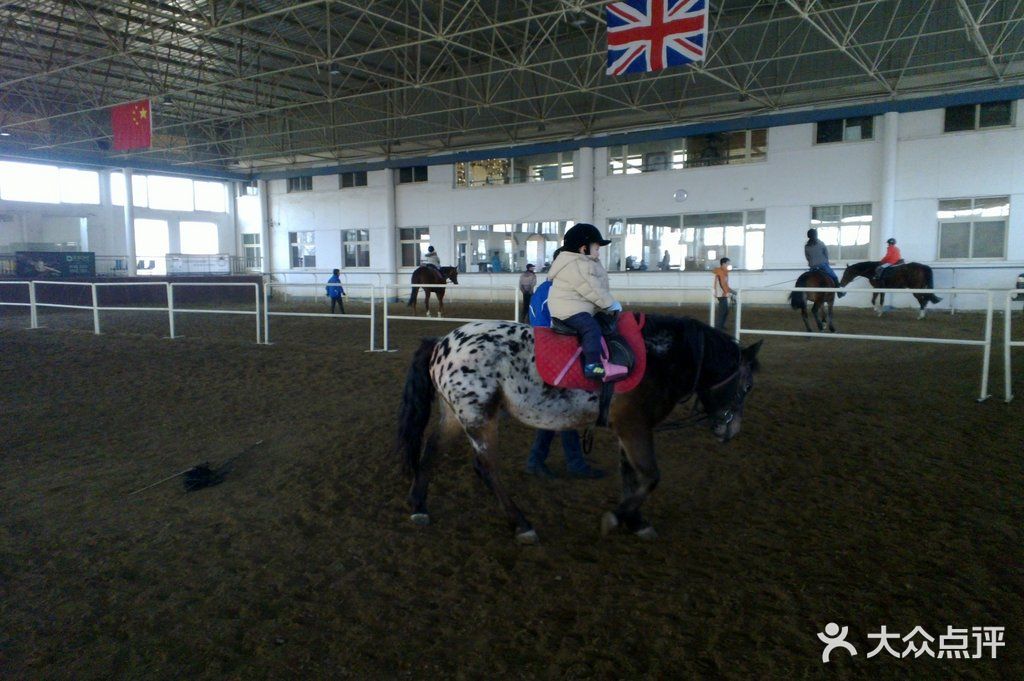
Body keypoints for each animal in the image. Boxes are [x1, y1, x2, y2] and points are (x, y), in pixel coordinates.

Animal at [395, 315, 765, 544]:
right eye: (746, 387)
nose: (731, 430)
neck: (658, 358)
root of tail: (442, 341)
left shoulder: (625, 431)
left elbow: (630, 475)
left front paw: (636, 521)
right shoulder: (634, 427)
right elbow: (650, 476)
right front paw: (617, 518)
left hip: (455, 414)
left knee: (431, 451)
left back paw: (418, 506)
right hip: (477, 414)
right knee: (486, 468)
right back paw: (522, 524)